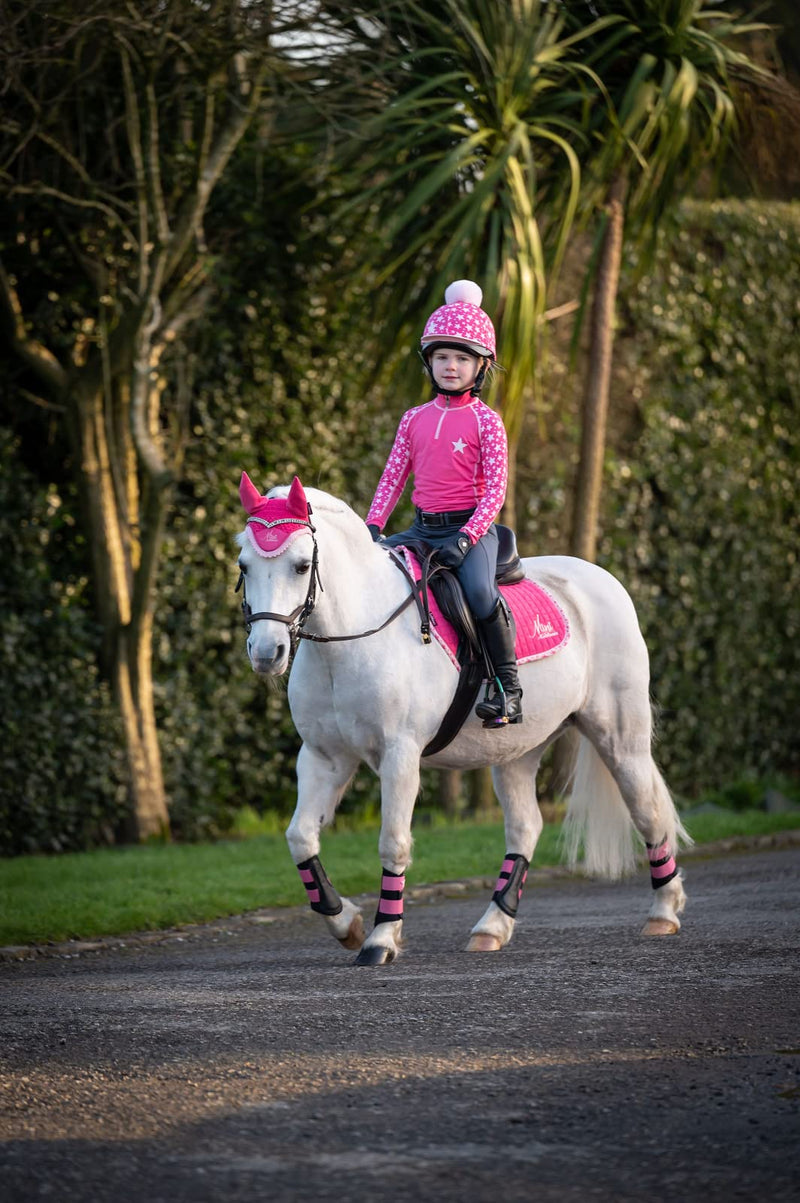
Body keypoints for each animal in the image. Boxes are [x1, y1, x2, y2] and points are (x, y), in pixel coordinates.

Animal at [235, 473, 688, 962]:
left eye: (301, 566)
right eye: (244, 565)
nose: (267, 653)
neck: (349, 639)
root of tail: (602, 579)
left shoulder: (399, 757)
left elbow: (393, 843)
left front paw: (380, 938)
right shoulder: (324, 757)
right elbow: (300, 837)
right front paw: (348, 925)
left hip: (620, 738)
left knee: (647, 812)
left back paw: (664, 912)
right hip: (518, 750)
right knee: (525, 827)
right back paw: (492, 926)